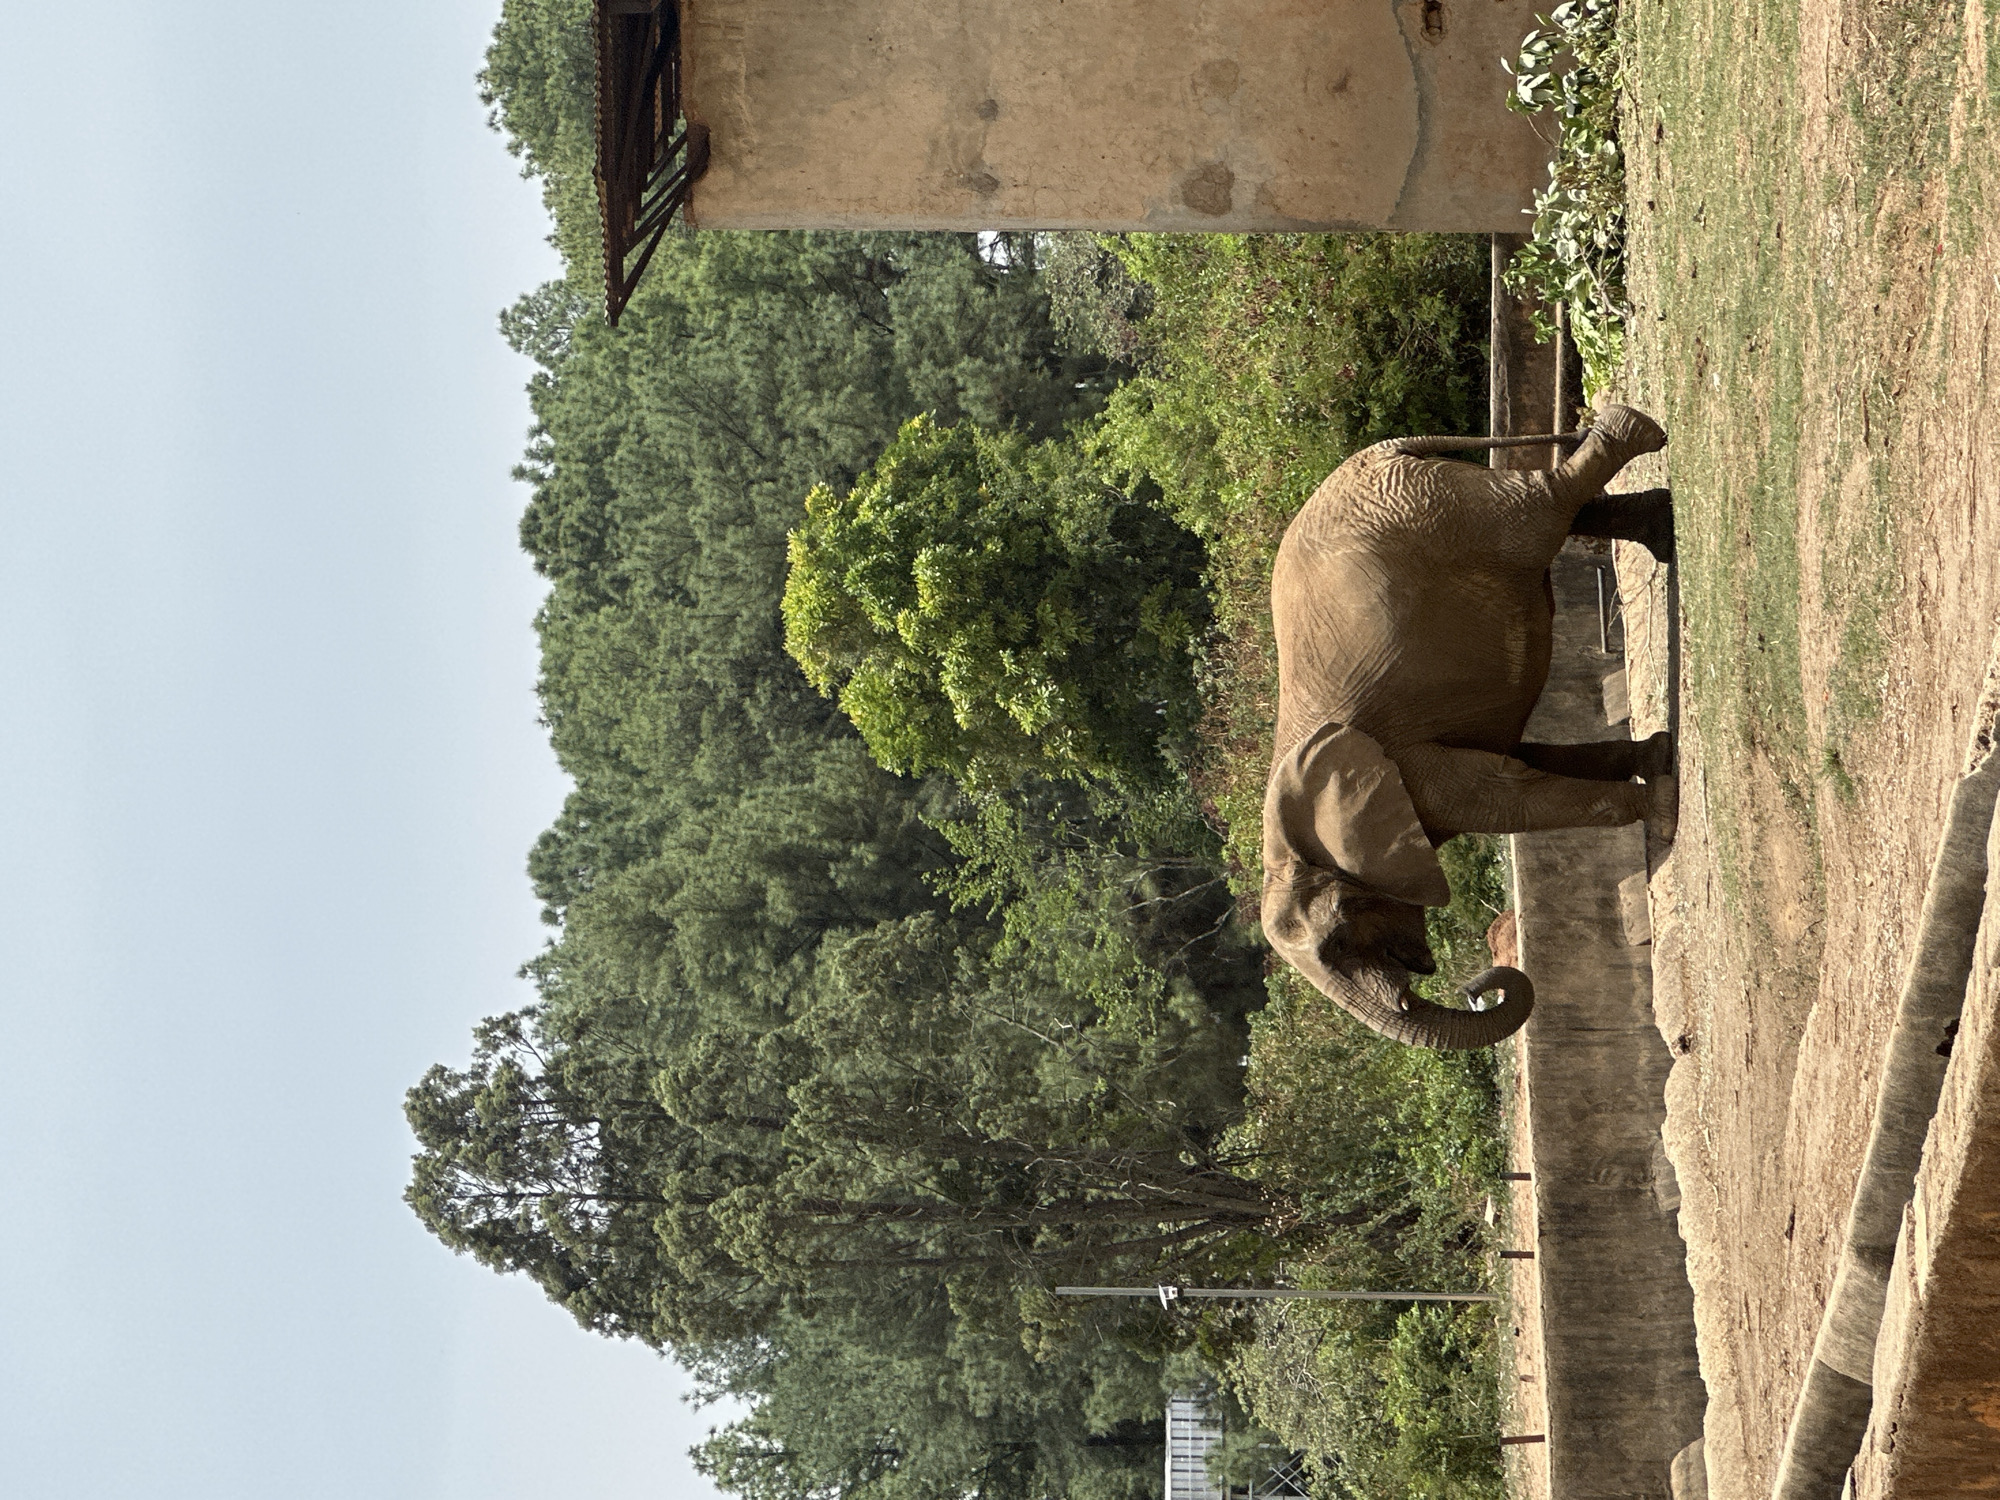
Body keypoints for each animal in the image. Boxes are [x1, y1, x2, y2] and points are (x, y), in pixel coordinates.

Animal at [1260, 403, 1677, 1050]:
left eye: (1342, 932)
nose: (1478, 986)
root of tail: (1379, 452)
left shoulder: (1411, 768)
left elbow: (1502, 796)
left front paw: (1663, 808)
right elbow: (1528, 761)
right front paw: (1658, 757)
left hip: (1435, 509)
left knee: (1539, 508)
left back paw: (1637, 432)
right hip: (1439, 502)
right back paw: (1662, 528)